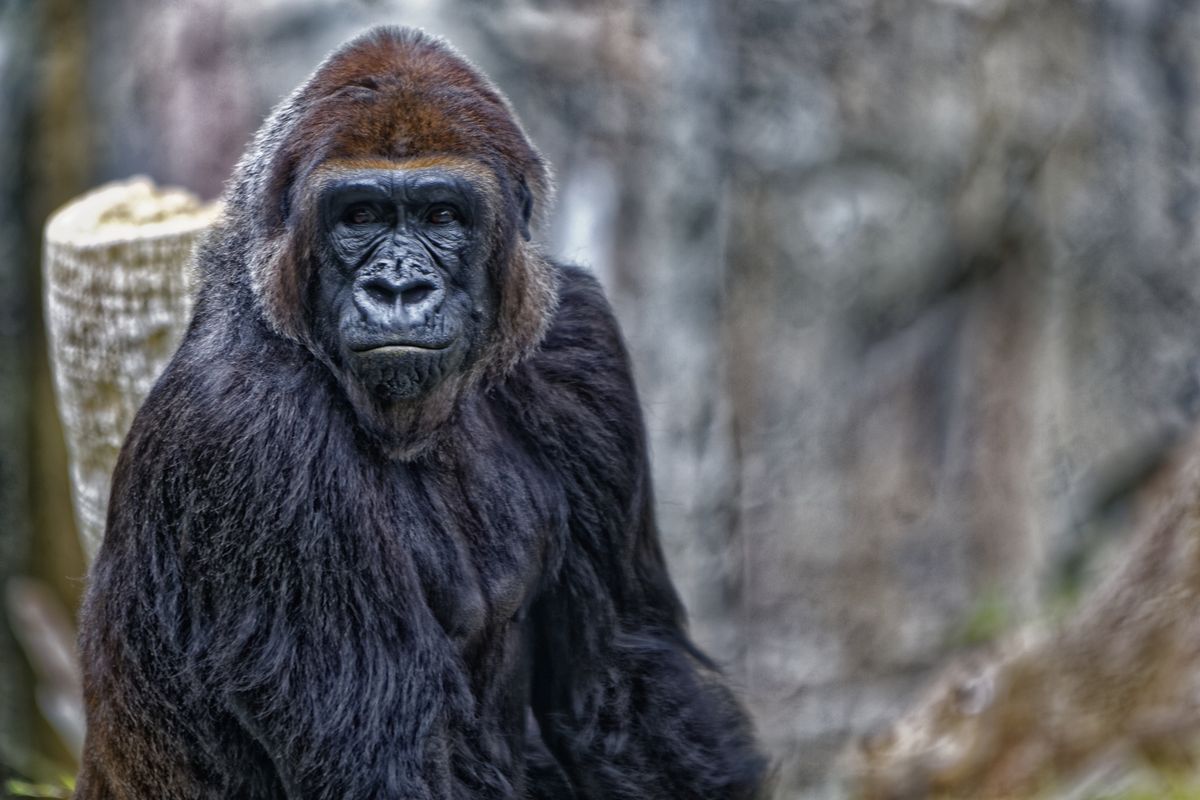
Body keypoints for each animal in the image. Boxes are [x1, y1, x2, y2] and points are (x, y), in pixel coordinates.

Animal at [77, 25, 768, 800]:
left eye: (441, 214)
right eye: (360, 216)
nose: (398, 288)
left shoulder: (579, 343)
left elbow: (624, 674)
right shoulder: (252, 433)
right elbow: (390, 765)